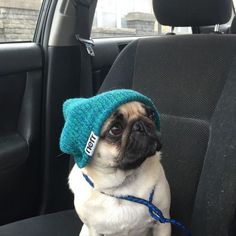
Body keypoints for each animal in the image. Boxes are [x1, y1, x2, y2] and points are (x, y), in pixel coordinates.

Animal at [68, 101, 170, 236]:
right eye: (115, 129)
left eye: (151, 115)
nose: (141, 124)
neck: (123, 182)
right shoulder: (94, 230)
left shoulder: (163, 223)